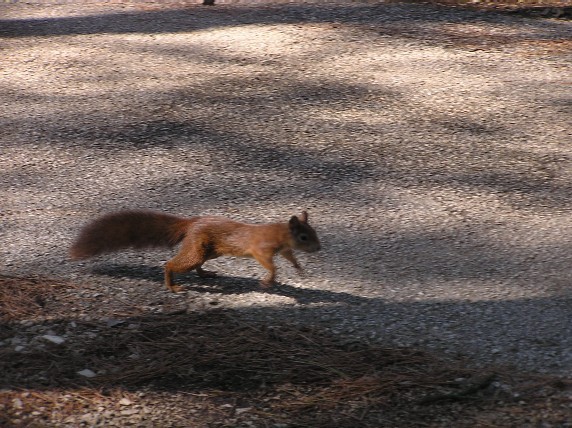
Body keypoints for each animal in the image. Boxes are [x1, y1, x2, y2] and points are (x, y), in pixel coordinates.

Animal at [68, 209, 320, 292]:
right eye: (304, 237)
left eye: (314, 232)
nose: (318, 248)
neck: (281, 234)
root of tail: (191, 223)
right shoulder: (261, 249)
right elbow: (269, 264)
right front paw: (270, 279)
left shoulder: (284, 249)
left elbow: (289, 257)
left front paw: (299, 268)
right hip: (197, 250)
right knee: (172, 264)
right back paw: (172, 285)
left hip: (210, 250)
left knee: (198, 264)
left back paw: (205, 274)